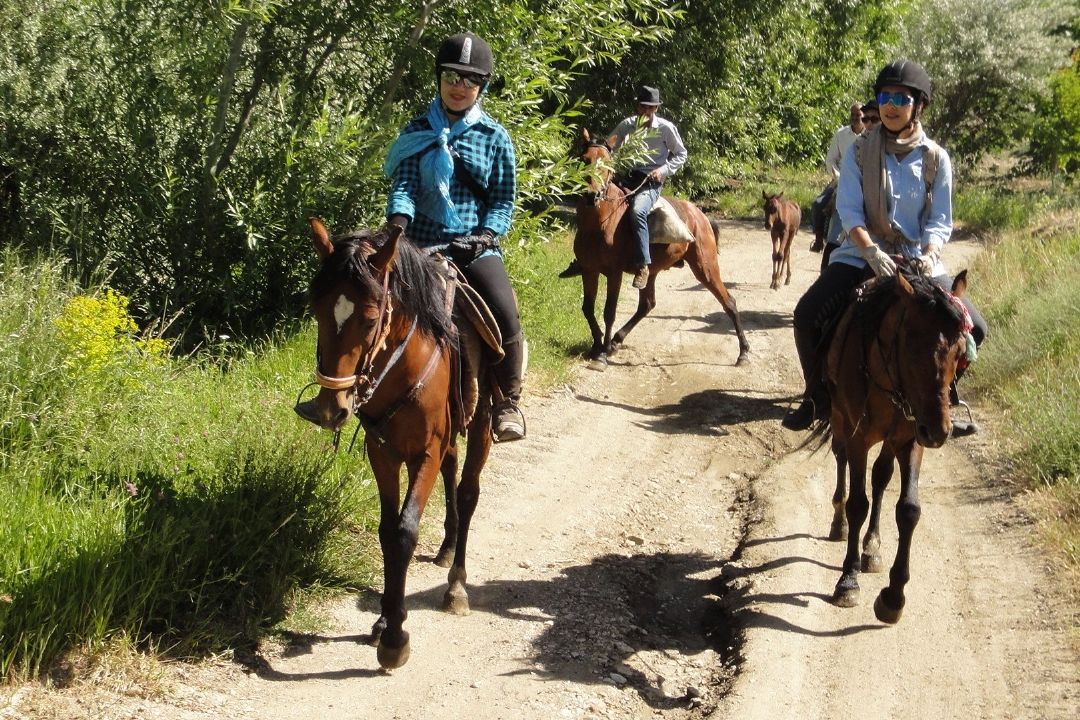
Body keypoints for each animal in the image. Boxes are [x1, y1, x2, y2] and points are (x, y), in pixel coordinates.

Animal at [300, 218, 494, 669]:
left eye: (371, 319)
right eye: (317, 309)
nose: (331, 409)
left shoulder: (424, 453)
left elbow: (405, 532)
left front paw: (395, 641)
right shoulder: (383, 453)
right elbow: (388, 532)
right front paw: (384, 620)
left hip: (482, 424)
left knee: (468, 492)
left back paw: (456, 587)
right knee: (452, 472)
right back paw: (446, 547)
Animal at [574, 127, 751, 371]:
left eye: (608, 163)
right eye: (584, 159)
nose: (593, 195)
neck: (599, 225)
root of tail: (701, 216)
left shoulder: (614, 274)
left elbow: (609, 312)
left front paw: (601, 355)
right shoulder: (589, 270)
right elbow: (587, 308)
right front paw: (597, 345)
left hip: (705, 268)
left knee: (729, 303)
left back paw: (743, 353)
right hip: (652, 271)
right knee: (647, 305)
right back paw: (616, 341)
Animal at [816, 267, 972, 621]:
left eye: (960, 352)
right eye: (912, 349)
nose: (939, 431)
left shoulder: (911, 440)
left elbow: (909, 509)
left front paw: (893, 596)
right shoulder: (858, 438)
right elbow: (858, 504)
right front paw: (848, 580)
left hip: (892, 439)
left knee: (880, 477)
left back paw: (872, 546)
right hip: (840, 419)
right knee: (841, 458)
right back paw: (839, 523)